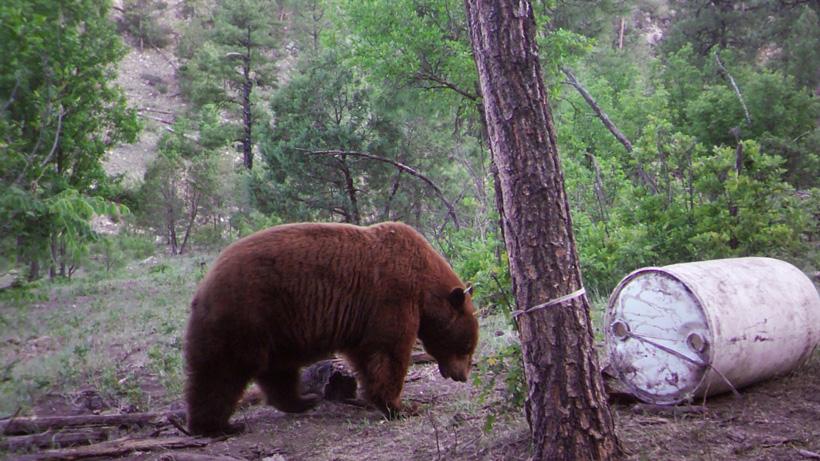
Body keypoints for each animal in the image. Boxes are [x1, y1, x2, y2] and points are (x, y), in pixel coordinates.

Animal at [183, 222, 479, 436]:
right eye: (467, 347)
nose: (462, 376)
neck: (424, 286)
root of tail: (204, 286)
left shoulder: (362, 319)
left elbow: (366, 356)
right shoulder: (392, 296)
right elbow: (388, 352)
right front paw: (402, 406)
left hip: (277, 327)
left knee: (277, 369)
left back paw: (303, 399)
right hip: (246, 313)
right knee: (221, 372)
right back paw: (216, 425)